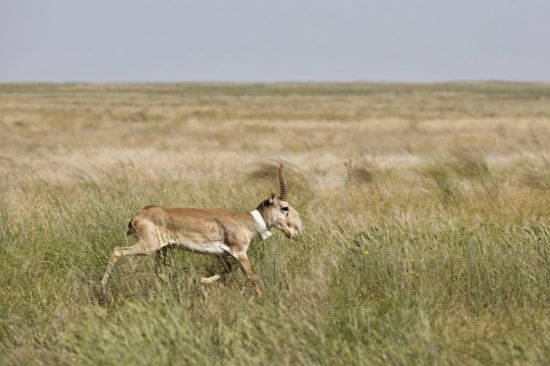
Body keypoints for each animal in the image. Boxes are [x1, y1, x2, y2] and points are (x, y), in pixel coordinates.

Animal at [101, 163, 304, 294]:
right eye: (284, 207)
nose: (297, 231)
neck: (247, 221)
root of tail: (137, 215)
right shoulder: (240, 253)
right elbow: (252, 277)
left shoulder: (222, 255)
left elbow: (228, 270)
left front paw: (201, 280)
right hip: (148, 247)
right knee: (117, 250)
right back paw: (102, 286)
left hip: (162, 249)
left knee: (159, 271)